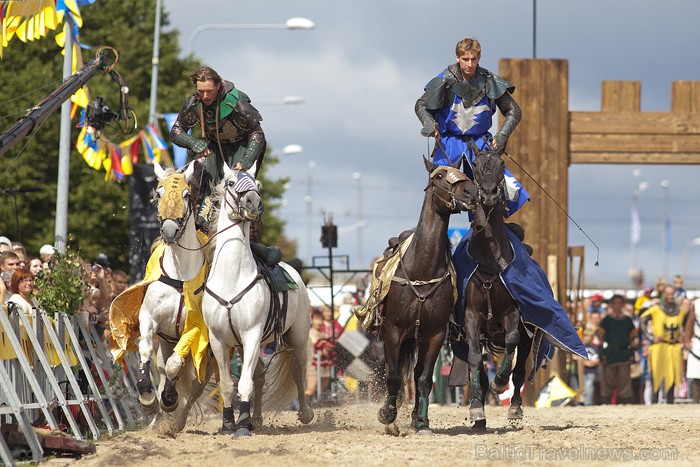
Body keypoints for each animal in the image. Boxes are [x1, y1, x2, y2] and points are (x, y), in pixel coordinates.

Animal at [201, 165, 314, 438]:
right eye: (231, 182)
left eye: (258, 184)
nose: (253, 202)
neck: (232, 277)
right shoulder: (219, 340)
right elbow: (227, 384)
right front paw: (228, 425)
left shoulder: (251, 334)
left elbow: (244, 383)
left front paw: (242, 427)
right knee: (261, 376)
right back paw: (257, 418)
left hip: (297, 337)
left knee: (298, 371)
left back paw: (305, 414)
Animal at [378, 157, 476, 436]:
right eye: (440, 175)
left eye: (463, 173)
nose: (472, 192)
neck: (422, 269)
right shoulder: (393, 330)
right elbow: (393, 376)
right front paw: (387, 414)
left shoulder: (435, 335)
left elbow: (423, 380)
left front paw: (422, 423)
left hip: (419, 338)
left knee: (418, 373)